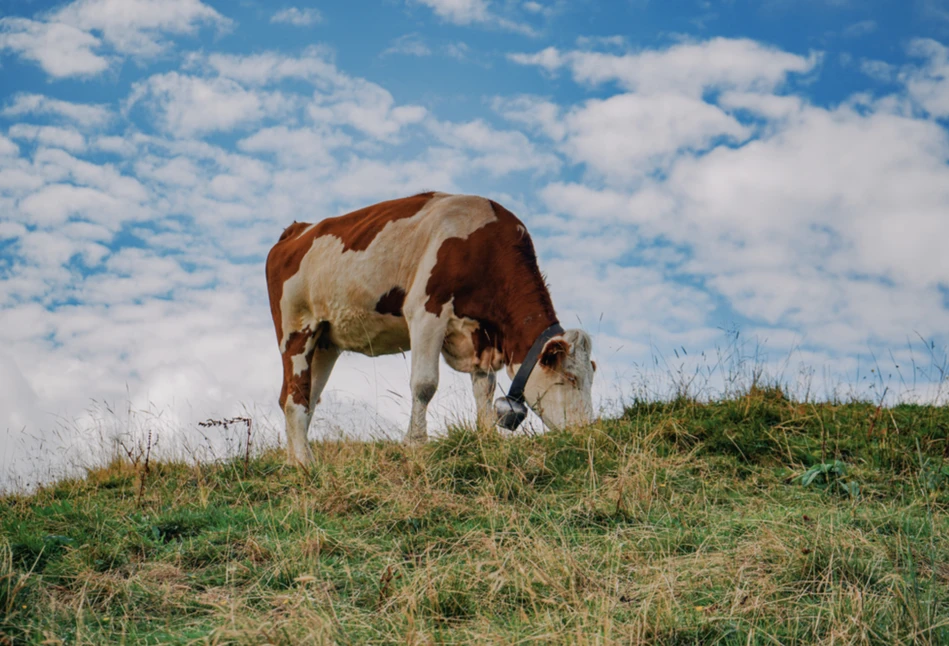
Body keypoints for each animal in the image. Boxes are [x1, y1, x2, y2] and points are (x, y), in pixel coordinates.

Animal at [264, 192, 592, 466]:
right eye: (571, 378)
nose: (587, 433)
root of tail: (298, 229)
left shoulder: (481, 338)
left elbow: (484, 391)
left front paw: (487, 437)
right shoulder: (425, 311)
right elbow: (424, 384)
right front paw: (416, 443)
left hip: (325, 342)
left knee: (306, 396)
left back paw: (294, 461)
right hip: (295, 328)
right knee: (293, 397)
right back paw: (306, 464)